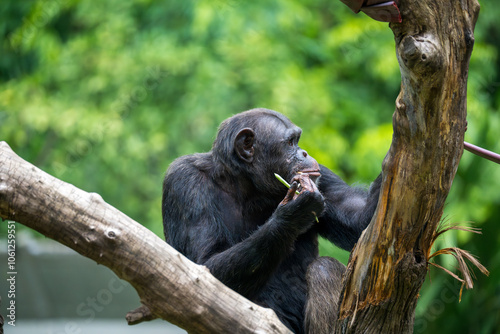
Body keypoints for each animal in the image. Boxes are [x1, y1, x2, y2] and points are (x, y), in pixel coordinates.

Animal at [162, 108, 380, 332]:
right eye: (291, 142)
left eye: (297, 140)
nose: (304, 152)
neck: (248, 187)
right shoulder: (184, 182)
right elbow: (203, 265)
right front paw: (292, 214)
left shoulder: (321, 175)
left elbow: (360, 220)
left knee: (324, 269)